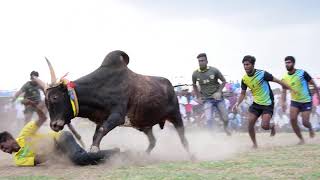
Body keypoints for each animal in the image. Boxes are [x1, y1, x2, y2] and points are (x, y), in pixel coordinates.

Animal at [43, 50, 191, 155]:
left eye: (55, 97)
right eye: (45, 101)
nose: (54, 125)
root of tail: (171, 86)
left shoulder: (117, 116)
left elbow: (101, 131)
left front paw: (94, 149)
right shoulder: (102, 119)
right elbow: (96, 134)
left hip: (176, 116)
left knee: (183, 139)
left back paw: (192, 156)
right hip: (144, 125)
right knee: (153, 141)